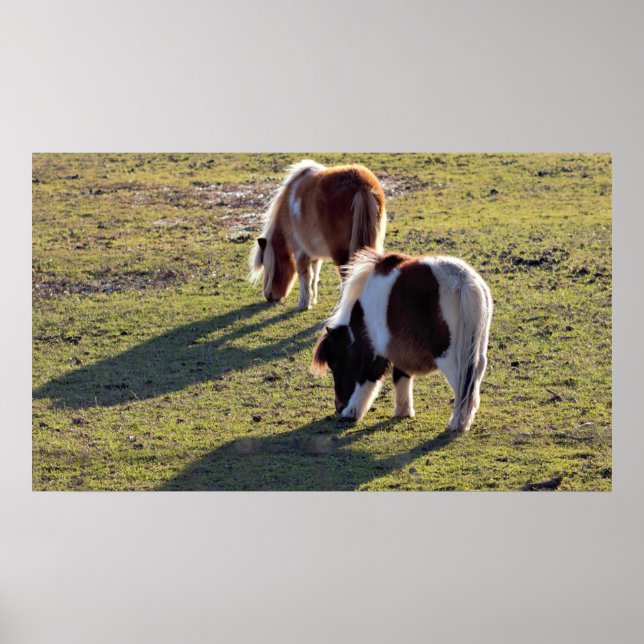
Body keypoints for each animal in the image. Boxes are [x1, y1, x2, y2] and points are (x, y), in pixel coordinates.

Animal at [249, 160, 387, 310]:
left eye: (266, 264)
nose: (269, 296)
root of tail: (361, 185)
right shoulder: (313, 253)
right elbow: (315, 275)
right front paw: (313, 300)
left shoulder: (300, 251)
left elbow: (304, 276)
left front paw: (303, 303)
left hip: (340, 253)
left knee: (346, 277)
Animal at [311, 249, 493, 433]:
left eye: (336, 363)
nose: (339, 406)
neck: (362, 312)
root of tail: (462, 280)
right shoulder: (401, 348)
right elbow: (401, 376)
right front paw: (403, 411)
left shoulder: (374, 352)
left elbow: (367, 379)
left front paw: (352, 413)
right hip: (476, 353)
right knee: (473, 383)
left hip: (449, 358)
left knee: (462, 386)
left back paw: (457, 423)